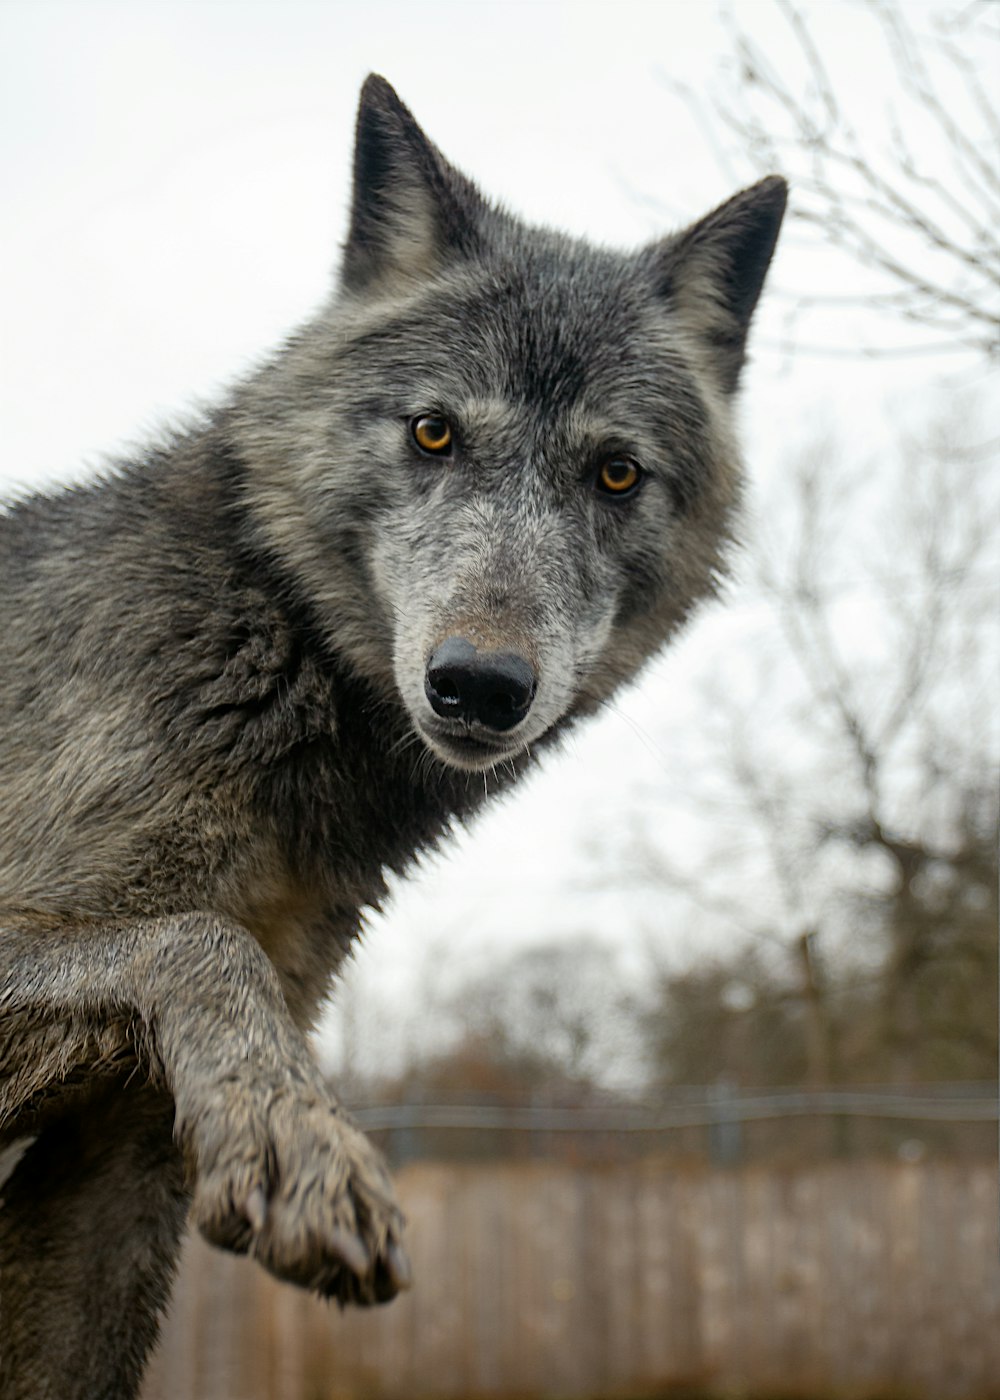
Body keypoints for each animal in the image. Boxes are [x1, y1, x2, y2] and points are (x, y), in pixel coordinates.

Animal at [0, 73, 784, 1400]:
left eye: (616, 474)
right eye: (432, 434)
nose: (479, 685)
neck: (261, 636)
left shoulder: (116, 1163)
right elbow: (200, 937)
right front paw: (306, 1147)